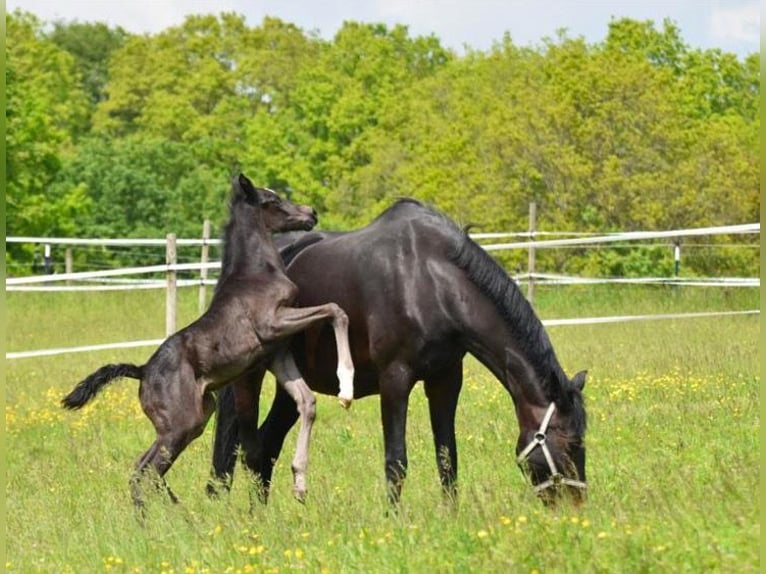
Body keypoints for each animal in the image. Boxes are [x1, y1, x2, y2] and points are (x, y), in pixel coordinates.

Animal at [61, 176, 356, 508]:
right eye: (273, 201)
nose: (311, 214)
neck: (256, 272)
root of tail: (142, 370)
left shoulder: (276, 353)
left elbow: (307, 401)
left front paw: (300, 482)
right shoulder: (273, 324)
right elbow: (335, 310)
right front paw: (346, 387)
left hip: (200, 415)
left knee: (143, 468)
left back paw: (176, 512)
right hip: (181, 425)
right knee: (145, 472)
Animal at [208, 201, 588, 508]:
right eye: (570, 444)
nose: (575, 508)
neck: (429, 282)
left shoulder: (445, 380)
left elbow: (447, 457)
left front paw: (450, 516)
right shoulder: (395, 379)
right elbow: (396, 461)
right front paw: (395, 522)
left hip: (295, 384)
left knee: (268, 446)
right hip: (250, 377)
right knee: (251, 450)